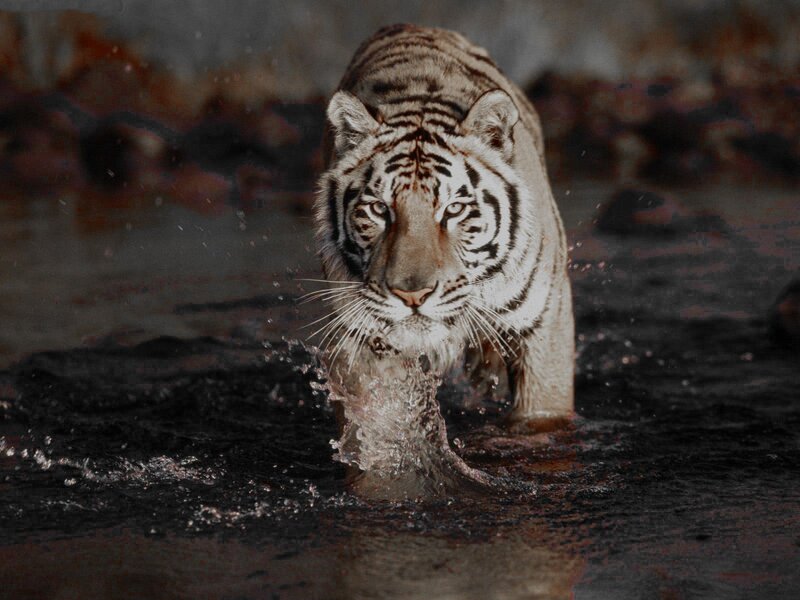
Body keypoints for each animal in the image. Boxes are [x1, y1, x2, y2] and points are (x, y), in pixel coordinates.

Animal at [312, 24, 574, 437]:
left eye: (454, 209)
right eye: (379, 209)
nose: (412, 295)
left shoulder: (545, 323)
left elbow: (542, 411)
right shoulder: (361, 340)